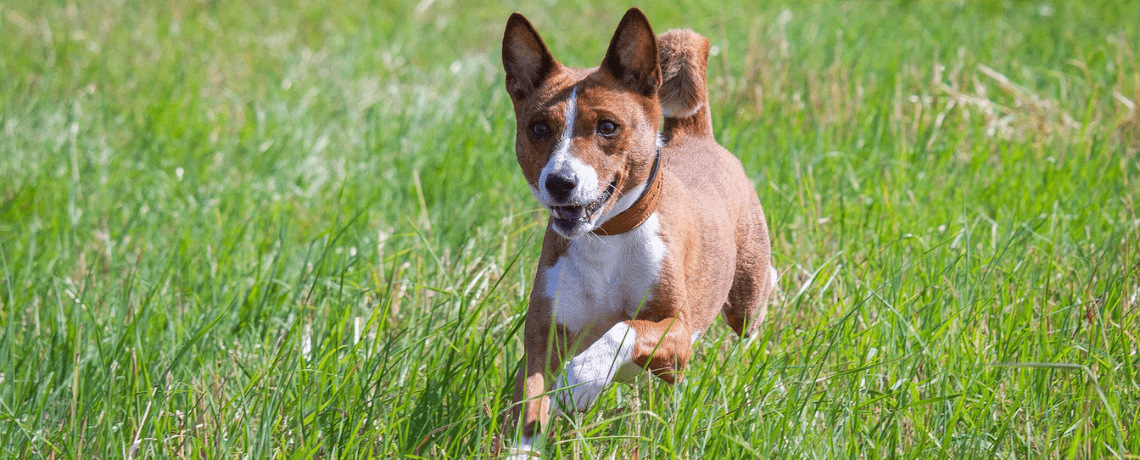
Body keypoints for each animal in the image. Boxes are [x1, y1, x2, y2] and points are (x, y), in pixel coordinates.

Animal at [499, 6, 775, 453]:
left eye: (607, 127)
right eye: (539, 128)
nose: (560, 181)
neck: (605, 240)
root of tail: (696, 135)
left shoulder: (677, 333)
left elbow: (622, 330)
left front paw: (580, 381)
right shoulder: (542, 338)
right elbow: (532, 402)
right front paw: (526, 448)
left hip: (745, 299)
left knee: (754, 305)